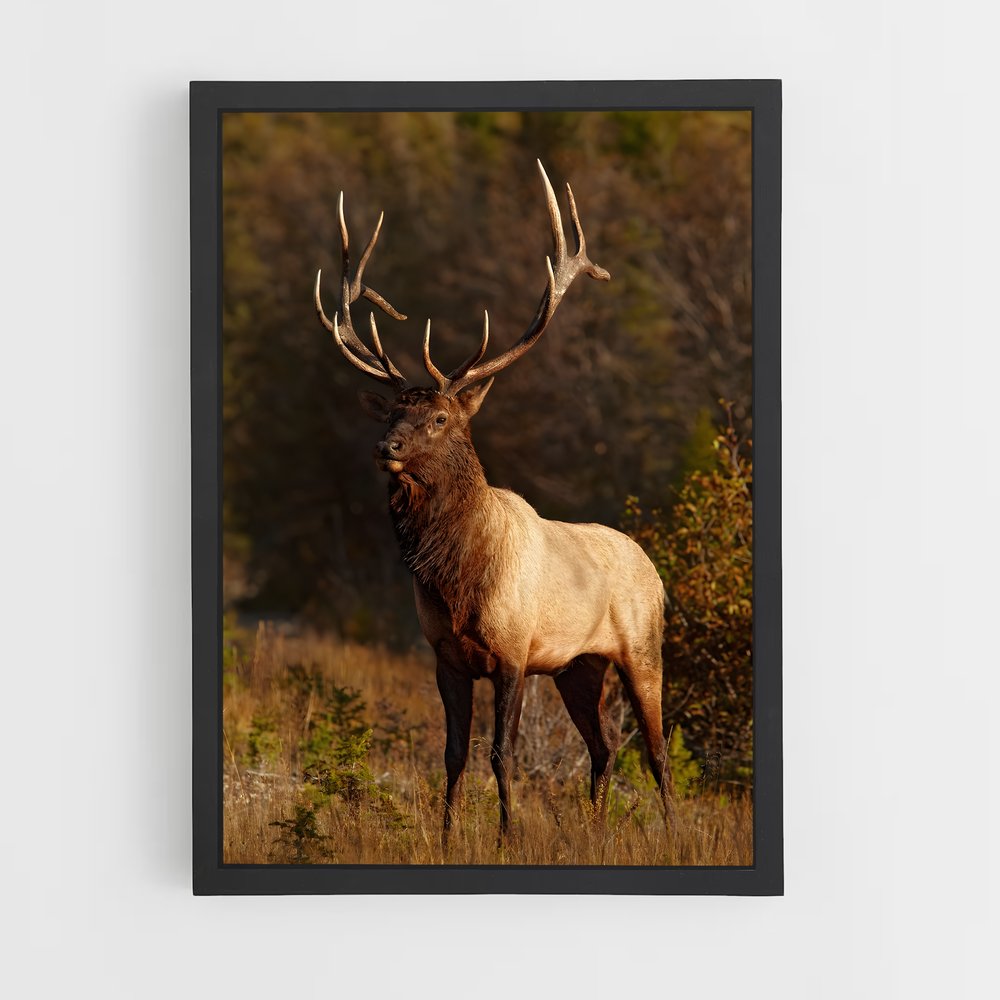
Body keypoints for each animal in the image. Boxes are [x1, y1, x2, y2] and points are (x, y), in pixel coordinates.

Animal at [314, 161, 673, 840]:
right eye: (394, 410)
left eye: (439, 419)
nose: (384, 446)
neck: (456, 581)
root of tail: (654, 569)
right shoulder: (446, 655)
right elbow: (453, 753)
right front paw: (448, 834)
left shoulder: (514, 651)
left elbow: (502, 753)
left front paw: (508, 835)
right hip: (579, 665)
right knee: (606, 745)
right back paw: (595, 827)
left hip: (642, 647)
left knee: (657, 749)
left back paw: (670, 831)